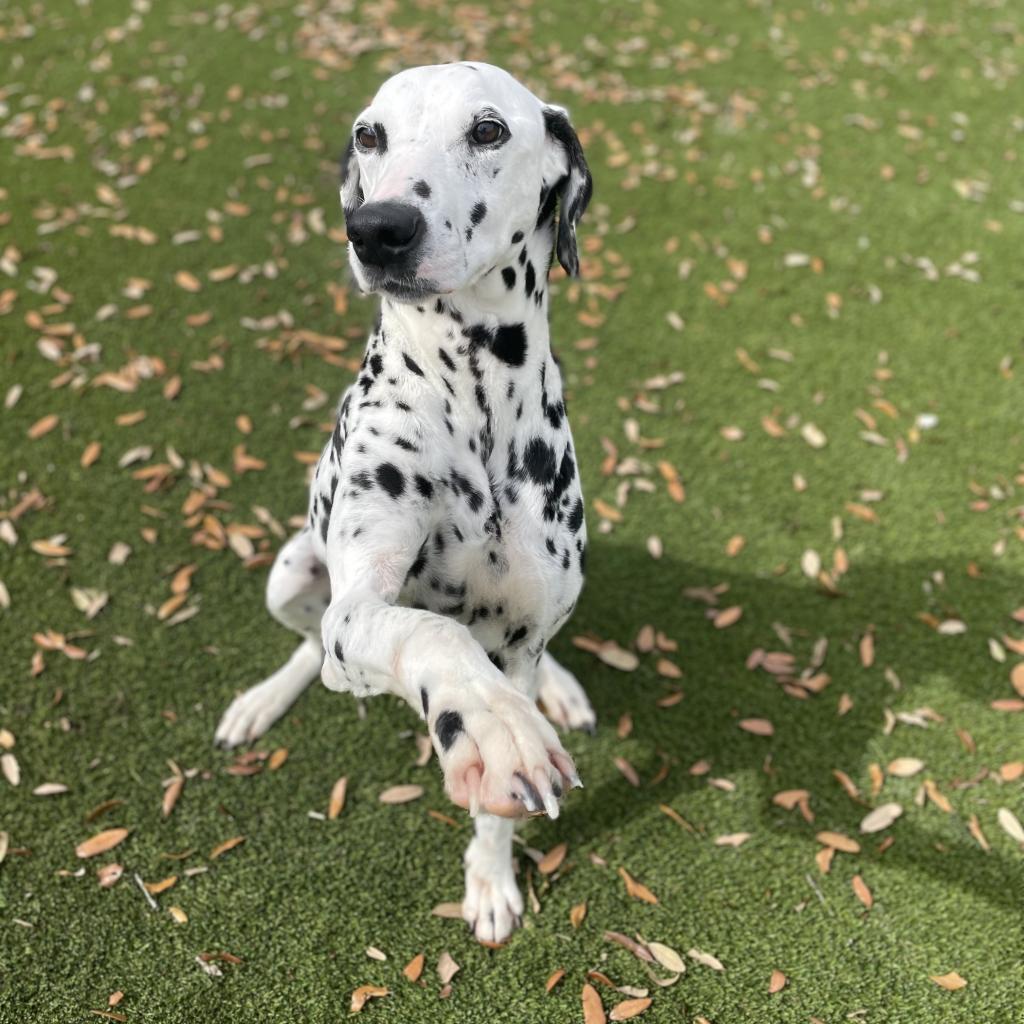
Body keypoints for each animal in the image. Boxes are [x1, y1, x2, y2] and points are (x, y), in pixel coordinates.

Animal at [218, 61, 598, 942]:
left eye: (488, 129)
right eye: (370, 135)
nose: (377, 228)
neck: (475, 393)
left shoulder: (522, 631)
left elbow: (498, 808)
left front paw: (490, 879)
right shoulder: (366, 599)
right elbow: (423, 632)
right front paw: (490, 723)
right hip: (291, 574)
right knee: (312, 643)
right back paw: (264, 700)